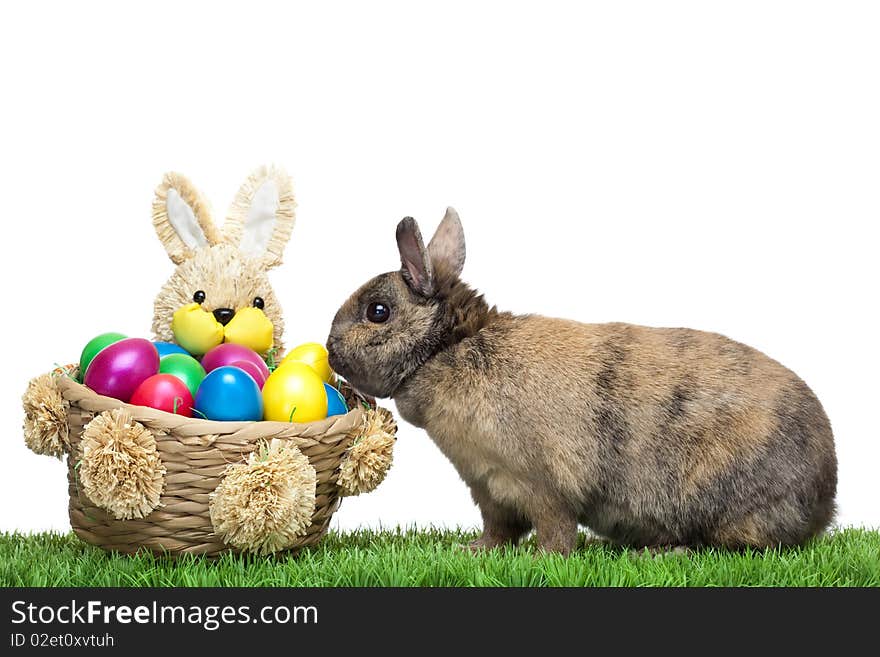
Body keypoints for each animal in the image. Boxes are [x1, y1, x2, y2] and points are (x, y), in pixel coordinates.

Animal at [324, 208, 840, 552]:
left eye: (377, 311)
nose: (329, 348)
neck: (448, 349)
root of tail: (825, 498)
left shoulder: (539, 482)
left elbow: (556, 528)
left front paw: (543, 560)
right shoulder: (487, 486)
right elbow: (498, 529)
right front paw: (474, 551)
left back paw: (665, 551)